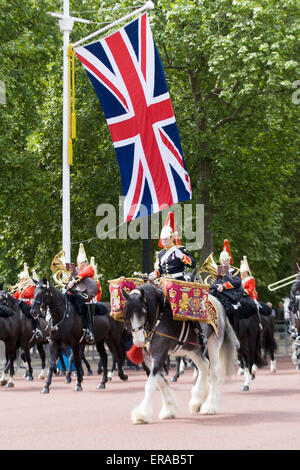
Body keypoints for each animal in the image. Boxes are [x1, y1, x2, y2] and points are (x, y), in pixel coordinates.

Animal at [123, 282, 238, 426]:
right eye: (126, 313)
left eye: (143, 311)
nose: (138, 341)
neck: (159, 316)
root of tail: (218, 302)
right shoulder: (149, 358)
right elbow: (160, 382)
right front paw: (169, 409)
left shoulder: (159, 354)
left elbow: (150, 385)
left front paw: (142, 415)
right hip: (192, 349)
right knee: (203, 365)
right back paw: (197, 401)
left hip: (214, 343)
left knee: (214, 371)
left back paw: (209, 406)